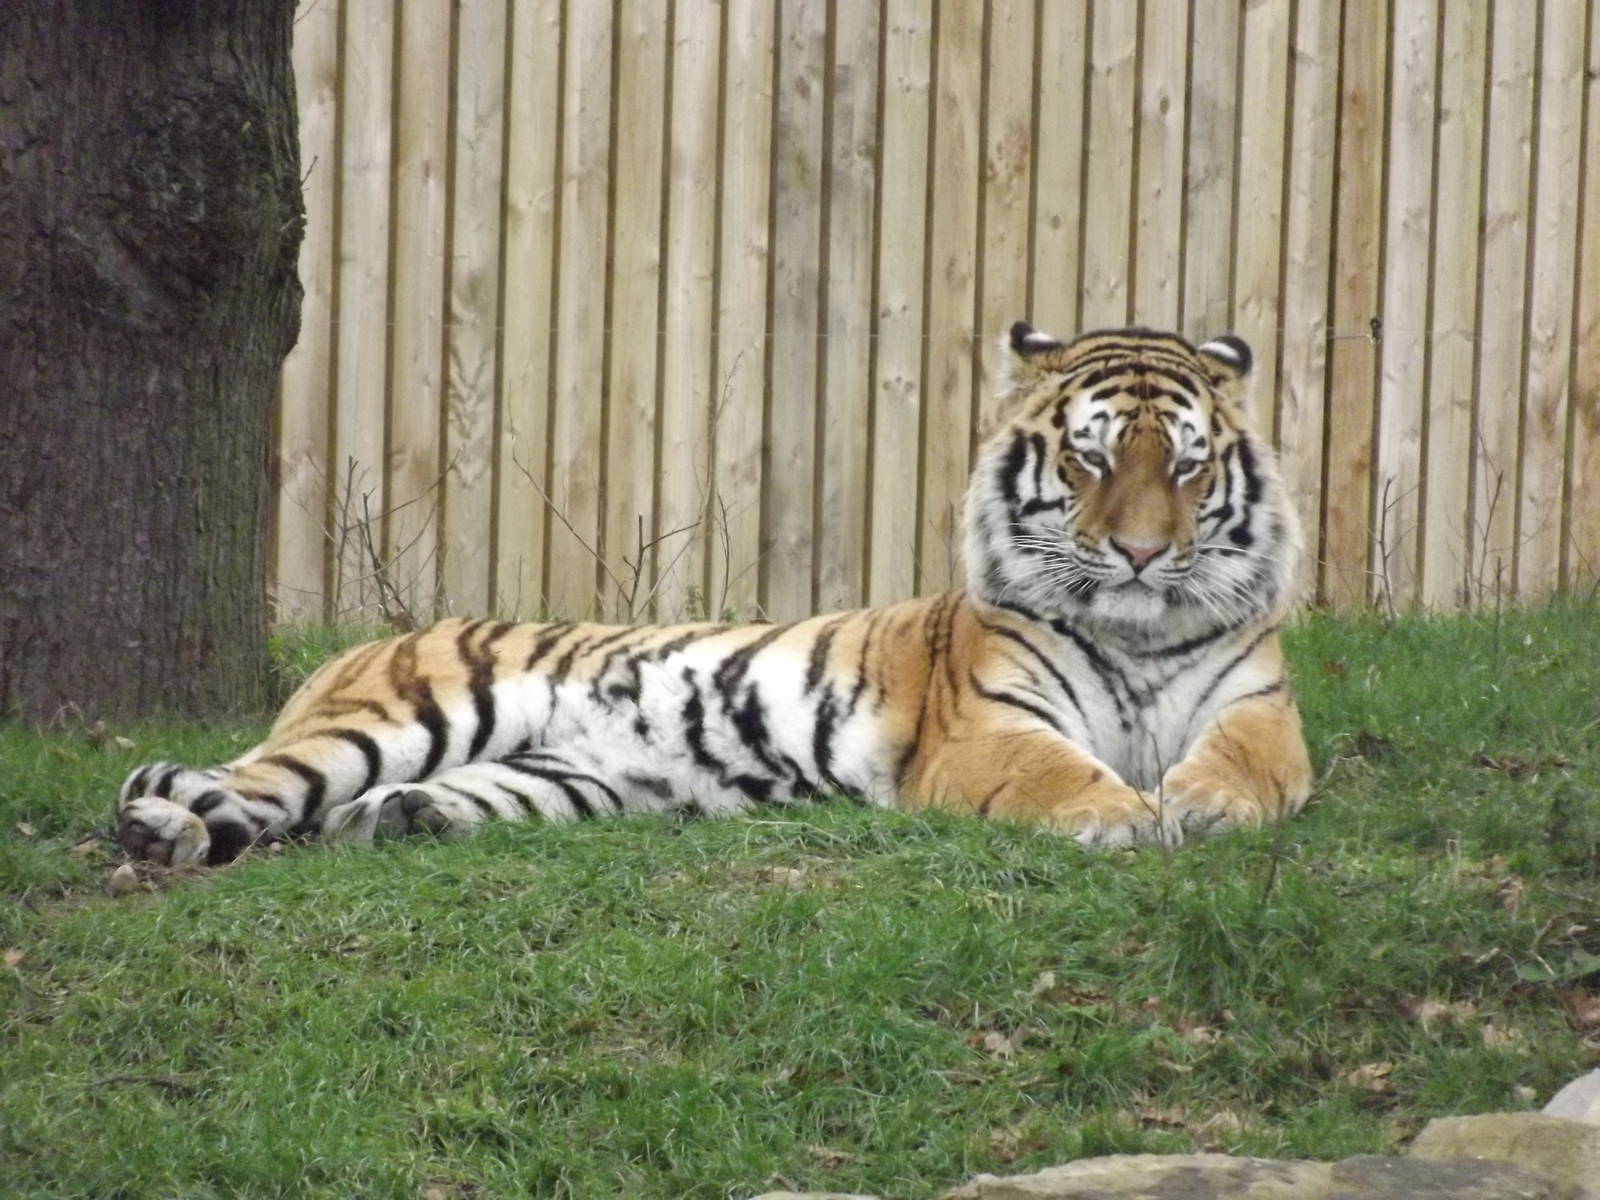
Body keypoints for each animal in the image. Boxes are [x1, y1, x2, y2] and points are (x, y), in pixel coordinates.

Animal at [117, 322, 1311, 867]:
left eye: (1187, 467)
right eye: (1092, 459)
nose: (1143, 555)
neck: (1139, 634)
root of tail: (357, 649)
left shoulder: (1258, 713)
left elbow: (1242, 767)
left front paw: (1198, 805)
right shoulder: (990, 730)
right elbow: (1059, 772)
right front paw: (1126, 815)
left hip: (566, 778)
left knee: (340, 811)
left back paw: (394, 819)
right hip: (397, 718)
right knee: (238, 786)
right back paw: (161, 829)